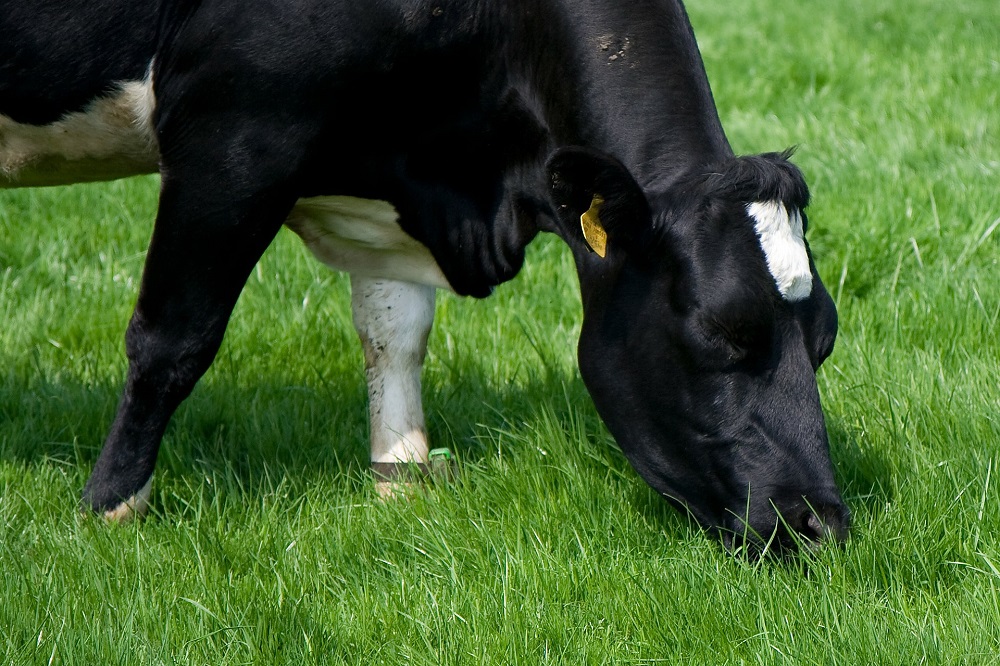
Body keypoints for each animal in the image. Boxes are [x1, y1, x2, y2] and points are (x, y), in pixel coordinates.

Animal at [1, 0, 852, 548]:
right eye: (718, 332)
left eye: (826, 342)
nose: (824, 524)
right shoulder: (234, 134)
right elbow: (173, 341)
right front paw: (110, 509)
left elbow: (395, 335)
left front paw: (399, 483)